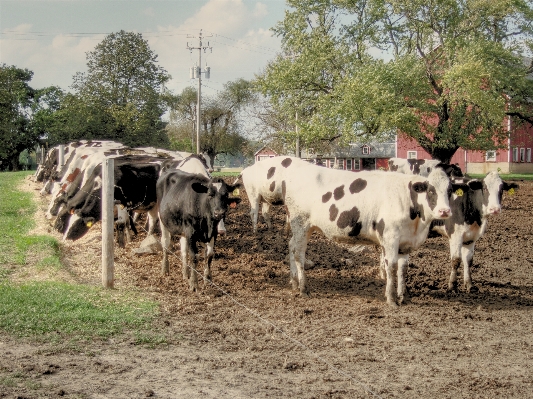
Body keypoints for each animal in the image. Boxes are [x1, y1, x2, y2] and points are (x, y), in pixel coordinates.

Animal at [255, 156, 466, 306]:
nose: (444, 211)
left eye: (449, 191)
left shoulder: (405, 243)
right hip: (300, 223)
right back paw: (303, 288)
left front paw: (404, 296)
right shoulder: (390, 238)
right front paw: (391, 299)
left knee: (291, 247)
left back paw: (294, 282)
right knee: (299, 254)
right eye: (430, 191)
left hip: (304, 228)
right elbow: (391, 267)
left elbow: (403, 270)